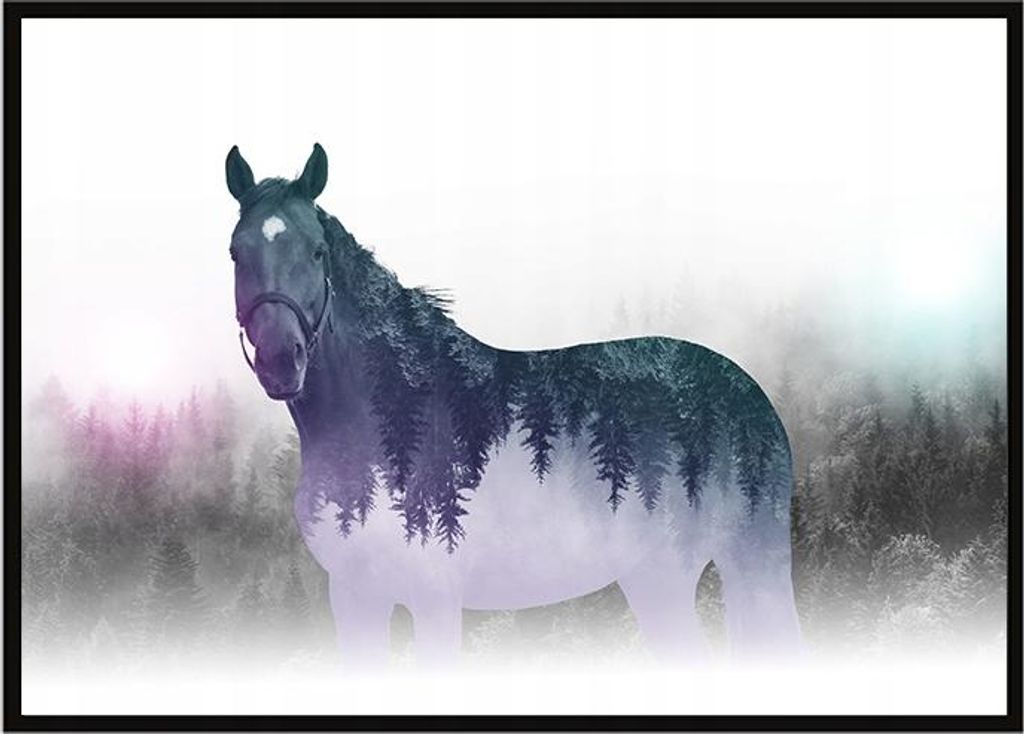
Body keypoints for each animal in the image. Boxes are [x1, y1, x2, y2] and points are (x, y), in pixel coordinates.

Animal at [225, 143, 802, 666]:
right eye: (236, 251)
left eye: (318, 250)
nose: (281, 361)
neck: (390, 420)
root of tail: (752, 394)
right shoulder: (353, 596)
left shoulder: (434, 598)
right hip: (659, 578)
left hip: (741, 565)